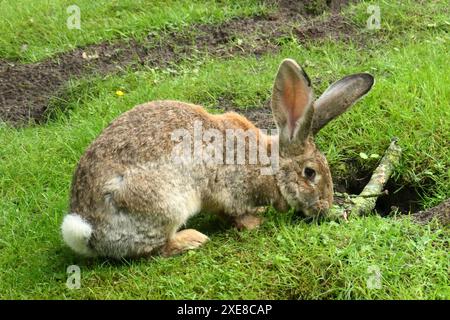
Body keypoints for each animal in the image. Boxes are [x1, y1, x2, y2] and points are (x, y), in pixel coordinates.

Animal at [61, 58, 374, 258]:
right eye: (310, 173)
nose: (324, 208)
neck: (269, 165)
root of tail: (90, 234)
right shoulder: (231, 188)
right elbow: (235, 213)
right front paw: (255, 222)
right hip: (162, 204)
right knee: (150, 249)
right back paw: (191, 239)